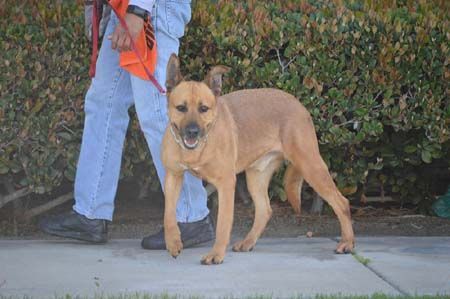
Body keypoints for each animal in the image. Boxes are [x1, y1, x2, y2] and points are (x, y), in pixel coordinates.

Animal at [162, 54, 356, 264]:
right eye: (181, 108)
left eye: (204, 108)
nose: (192, 132)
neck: (196, 150)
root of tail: (299, 105)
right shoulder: (173, 177)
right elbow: (168, 213)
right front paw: (173, 242)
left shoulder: (226, 184)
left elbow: (223, 223)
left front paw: (216, 254)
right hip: (256, 176)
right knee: (265, 210)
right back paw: (248, 242)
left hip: (310, 166)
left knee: (341, 202)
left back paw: (347, 243)